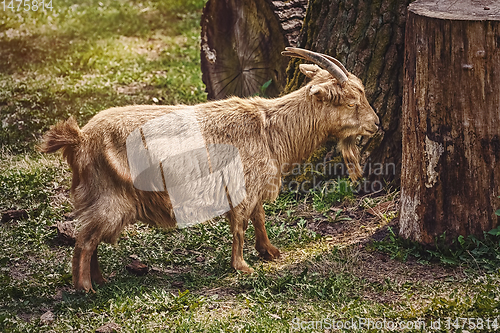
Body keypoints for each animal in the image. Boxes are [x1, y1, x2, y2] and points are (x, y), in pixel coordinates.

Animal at [41, 47, 380, 290]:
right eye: (352, 102)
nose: (376, 124)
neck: (269, 129)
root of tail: (80, 139)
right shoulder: (240, 187)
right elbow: (240, 225)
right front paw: (242, 266)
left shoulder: (254, 186)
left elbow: (259, 218)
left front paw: (270, 252)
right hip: (110, 198)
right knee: (84, 240)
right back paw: (86, 288)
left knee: (92, 238)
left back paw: (100, 280)